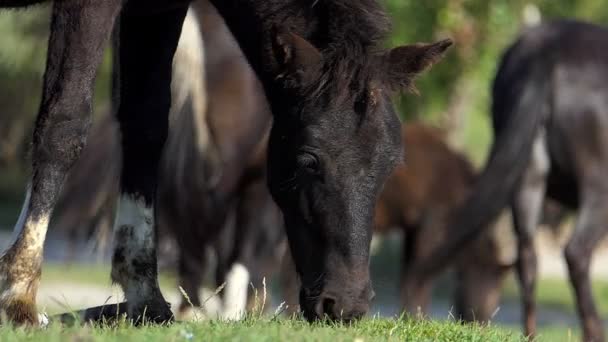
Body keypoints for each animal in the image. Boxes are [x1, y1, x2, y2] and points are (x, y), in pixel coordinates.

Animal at [0, 0, 452, 324]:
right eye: (308, 159)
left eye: (391, 163)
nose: (346, 304)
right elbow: (64, 122)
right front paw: (20, 297)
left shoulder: (154, 9)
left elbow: (147, 128)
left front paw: (145, 298)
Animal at [420, 20, 608, 340]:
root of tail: (546, 47)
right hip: (597, 185)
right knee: (576, 252)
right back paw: (593, 331)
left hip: (527, 176)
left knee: (527, 257)